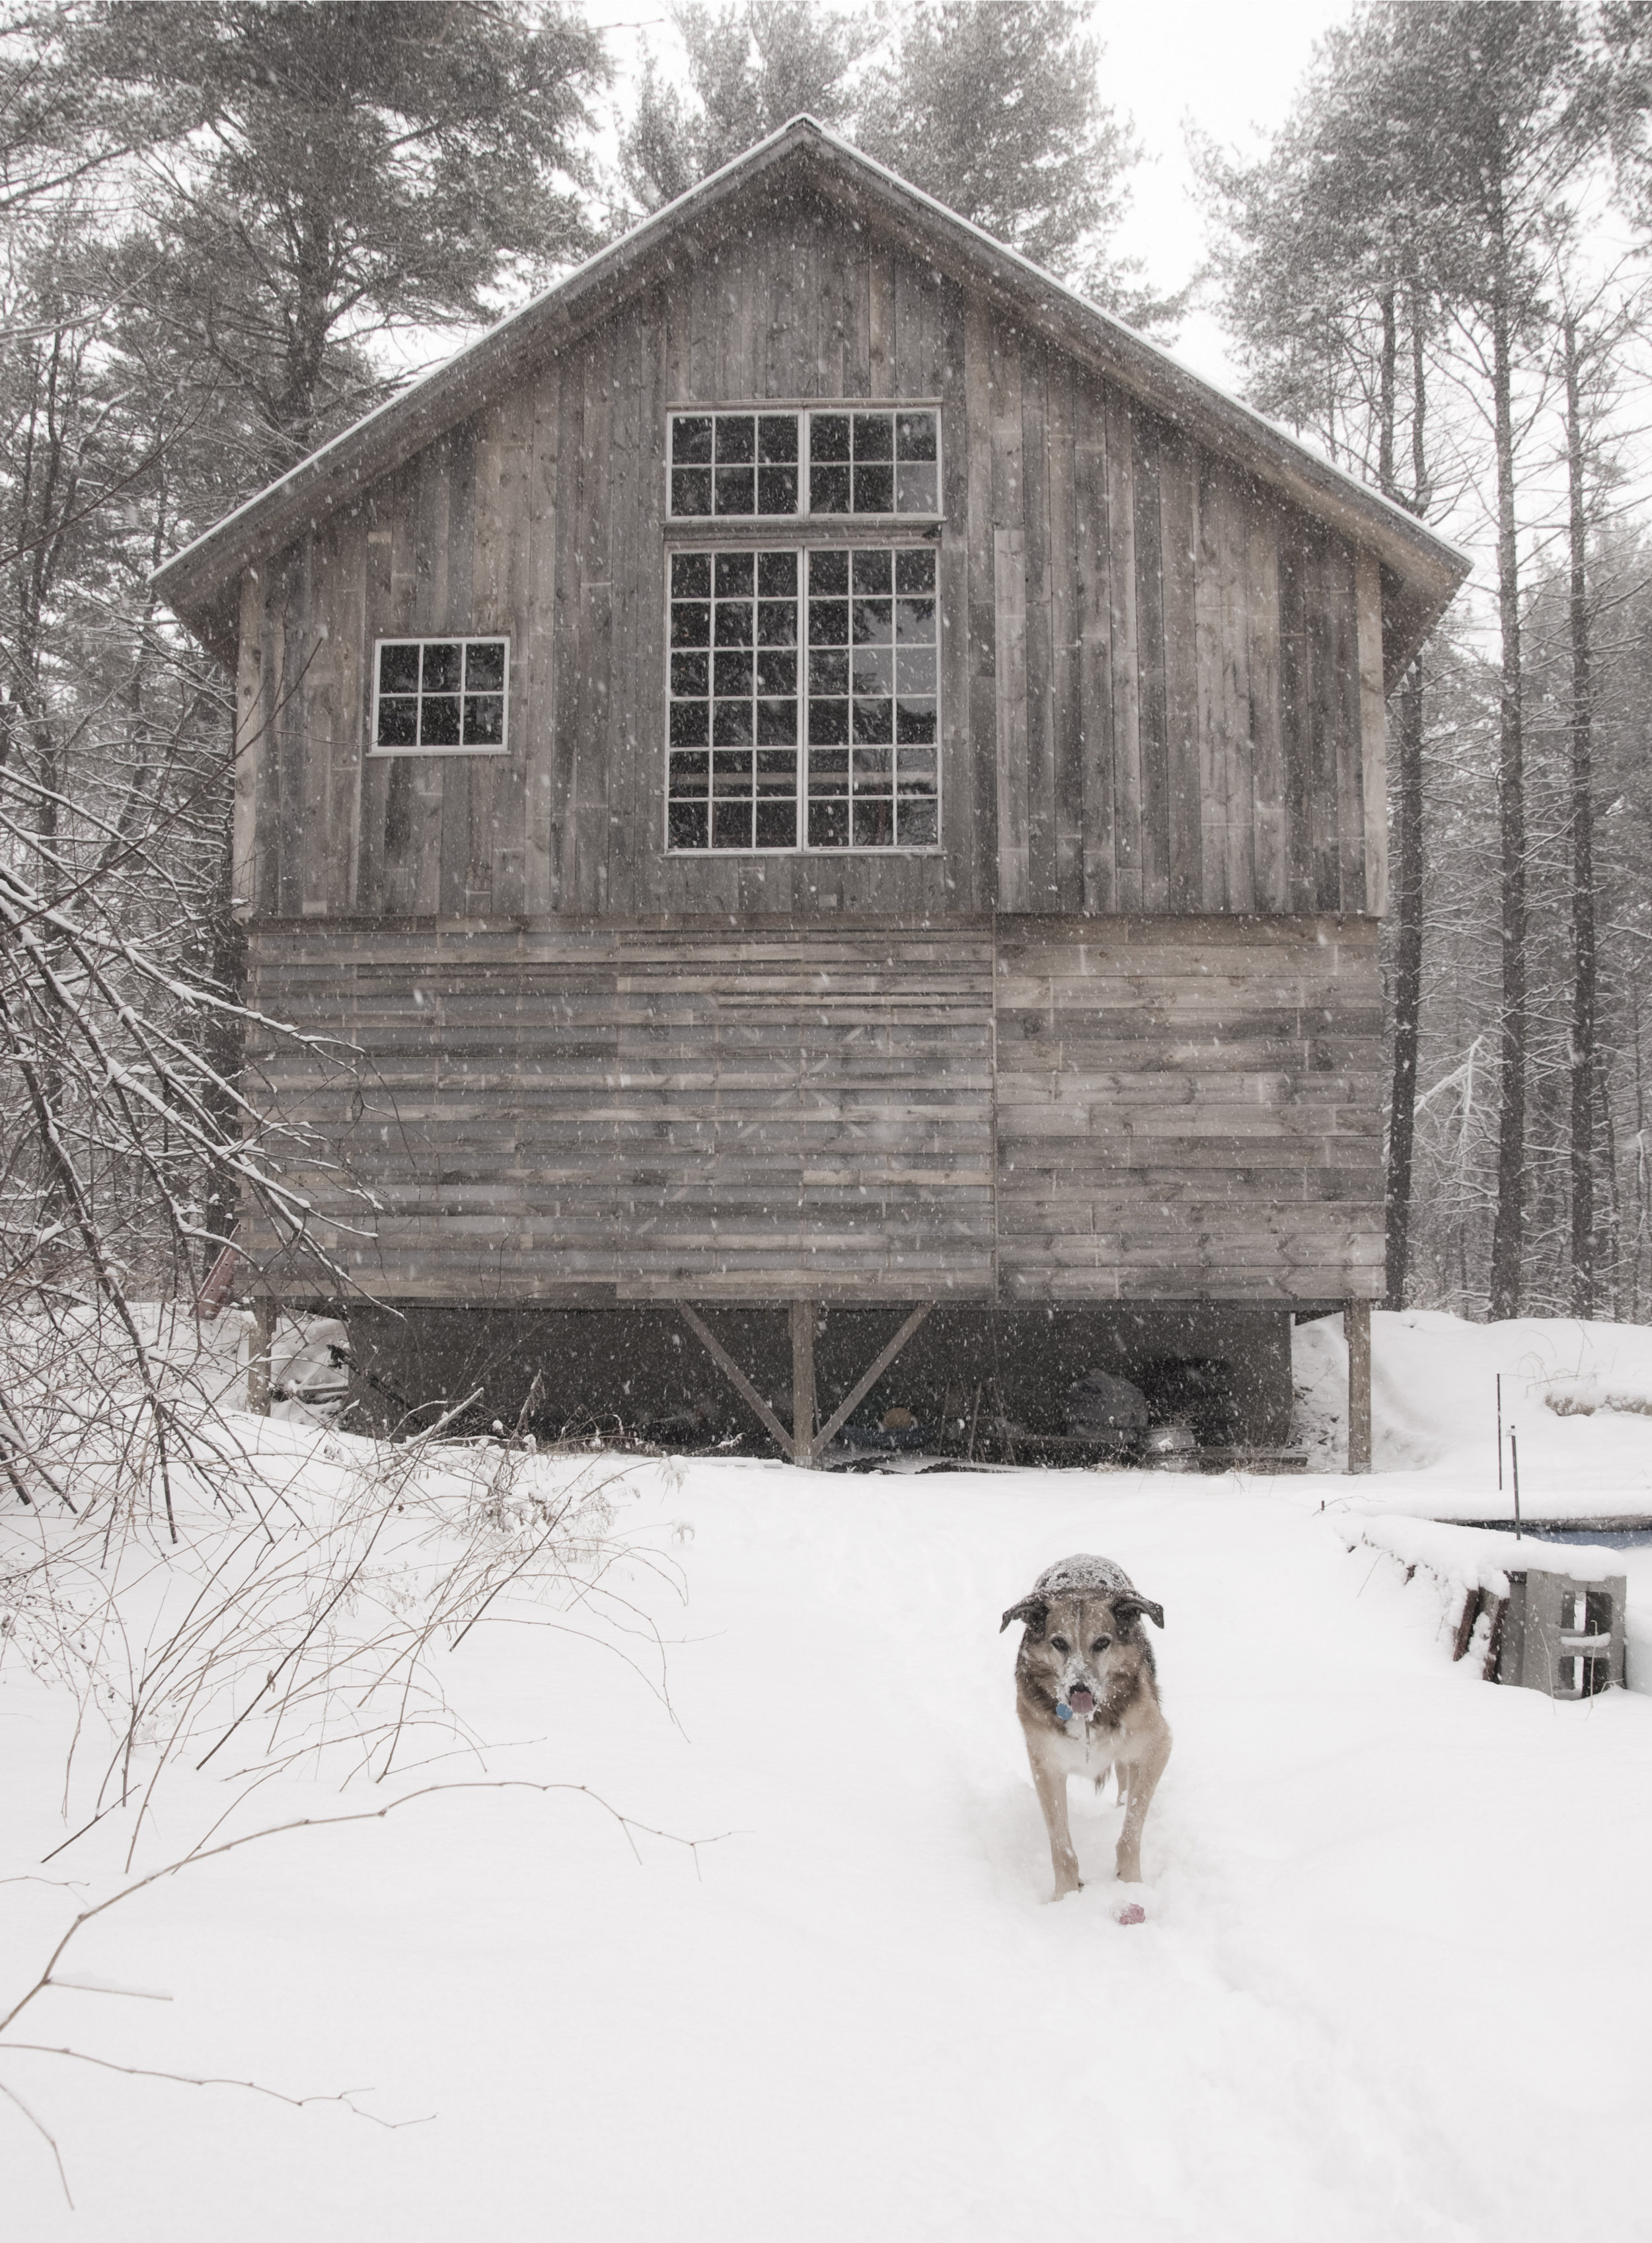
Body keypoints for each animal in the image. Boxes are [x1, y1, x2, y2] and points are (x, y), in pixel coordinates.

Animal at [999, 1561, 1165, 1893]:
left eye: (1102, 1643)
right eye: (1058, 1642)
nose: (1079, 1688)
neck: (1089, 1719)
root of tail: (1083, 1556)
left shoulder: (1157, 1746)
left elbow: (1131, 1829)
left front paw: (1131, 1883)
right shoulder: (1046, 1765)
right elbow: (1061, 1845)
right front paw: (1066, 1894)